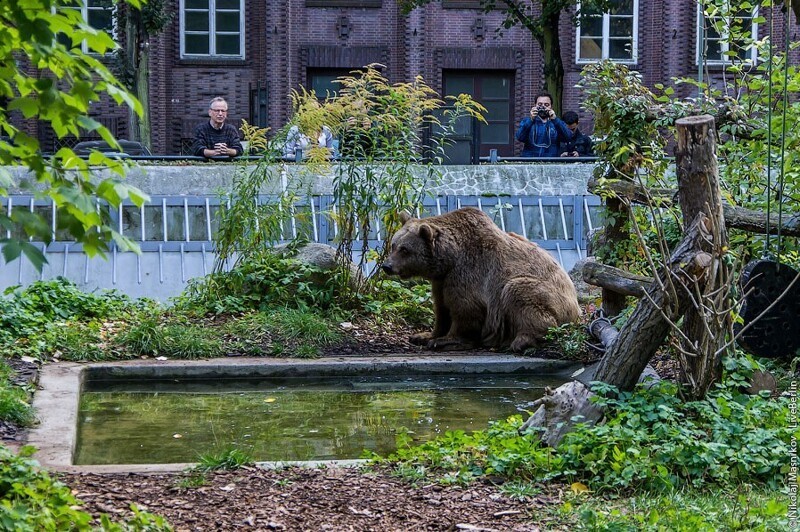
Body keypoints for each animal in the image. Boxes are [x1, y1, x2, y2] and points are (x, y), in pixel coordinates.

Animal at [382, 208, 580, 354]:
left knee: (519, 292)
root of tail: (576, 306)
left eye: (405, 249)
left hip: (546, 294)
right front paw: (423, 336)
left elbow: (465, 309)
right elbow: (441, 309)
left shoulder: (468, 272)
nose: (387, 266)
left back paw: (521, 341)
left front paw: (446, 341)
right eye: (393, 245)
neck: (449, 259)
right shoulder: (441, 281)